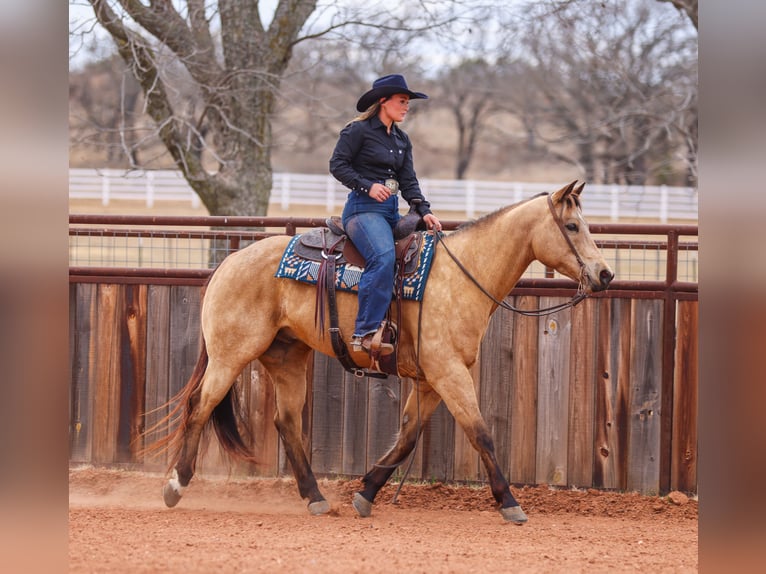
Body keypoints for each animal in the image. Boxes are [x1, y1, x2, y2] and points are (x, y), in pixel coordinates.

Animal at [157, 180, 613, 524]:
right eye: (572, 226)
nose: (605, 274)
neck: (461, 274)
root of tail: (229, 262)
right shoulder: (449, 372)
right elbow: (481, 433)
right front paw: (510, 503)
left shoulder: (431, 380)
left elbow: (407, 437)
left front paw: (366, 491)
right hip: (230, 355)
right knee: (200, 406)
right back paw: (176, 485)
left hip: (287, 357)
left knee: (286, 422)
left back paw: (316, 497)